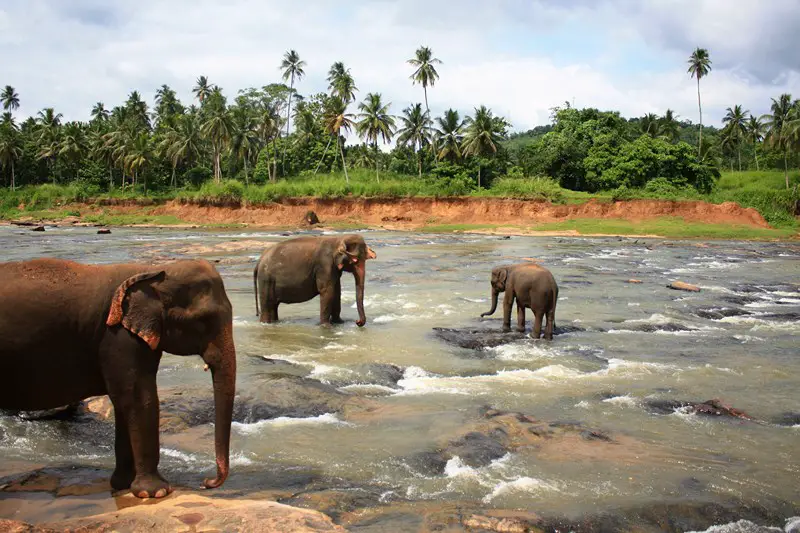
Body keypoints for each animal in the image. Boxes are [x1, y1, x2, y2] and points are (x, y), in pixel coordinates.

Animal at [0, 258, 238, 498]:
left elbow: (125, 399)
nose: (207, 482)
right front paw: (156, 492)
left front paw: (124, 485)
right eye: (203, 320)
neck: (151, 271)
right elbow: (139, 397)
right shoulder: (117, 337)